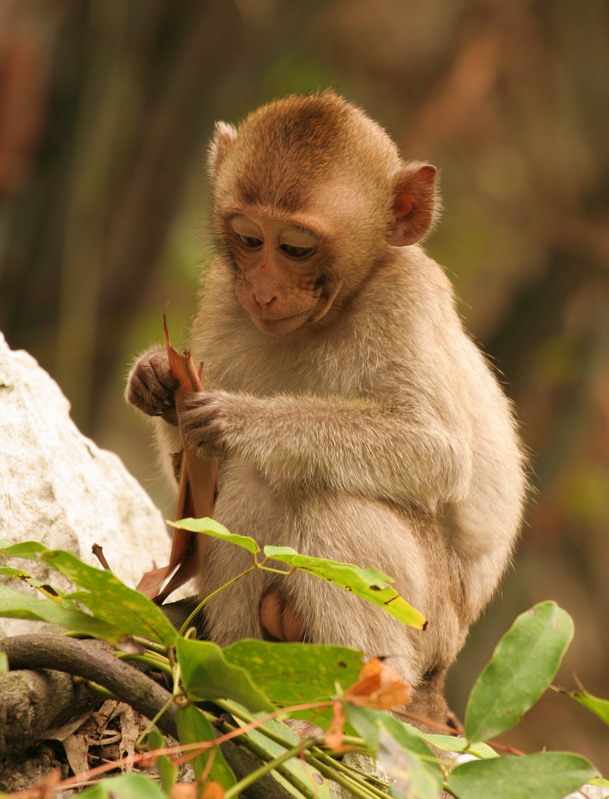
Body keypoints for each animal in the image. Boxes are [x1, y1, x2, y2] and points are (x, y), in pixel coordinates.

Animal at [126, 90, 524, 728]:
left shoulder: (408, 297)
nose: (263, 290)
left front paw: (242, 421)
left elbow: (435, 451)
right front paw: (157, 380)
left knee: (315, 491)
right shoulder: (222, 297)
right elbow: (196, 485)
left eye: (295, 247)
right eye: (248, 238)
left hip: (429, 621)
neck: (332, 312)